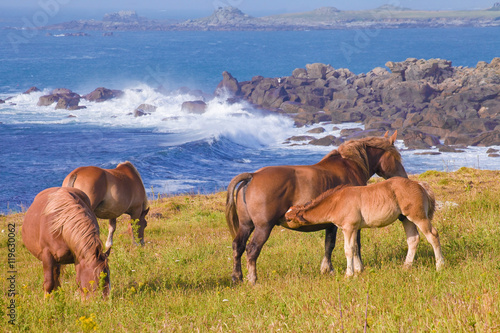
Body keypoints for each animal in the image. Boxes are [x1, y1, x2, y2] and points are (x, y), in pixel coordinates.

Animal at [227, 131, 410, 284]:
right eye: (397, 157)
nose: (404, 177)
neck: (349, 166)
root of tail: (252, 176)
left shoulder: (331, 223)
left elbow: (328, 245)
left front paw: (327, 269)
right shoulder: (351, 222)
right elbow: (353, 245)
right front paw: (357, 268)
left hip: (246, 225)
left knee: (238, 246)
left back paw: (237, 277)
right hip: (263, 227)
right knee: (252, 249)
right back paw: (253, 279)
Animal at [286, 178, 446, 276]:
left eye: (288, 218)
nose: (282, 220)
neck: (337, 202)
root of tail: (420, 185)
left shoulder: (349, 228)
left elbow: (348, 250)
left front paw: (349, 274)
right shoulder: (355, 228)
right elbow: (356, 248)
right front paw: (357, 271)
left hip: (418, 217)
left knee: (433, 235)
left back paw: (440, 266)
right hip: (406, 219)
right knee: (413, 239)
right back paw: (406, 267)